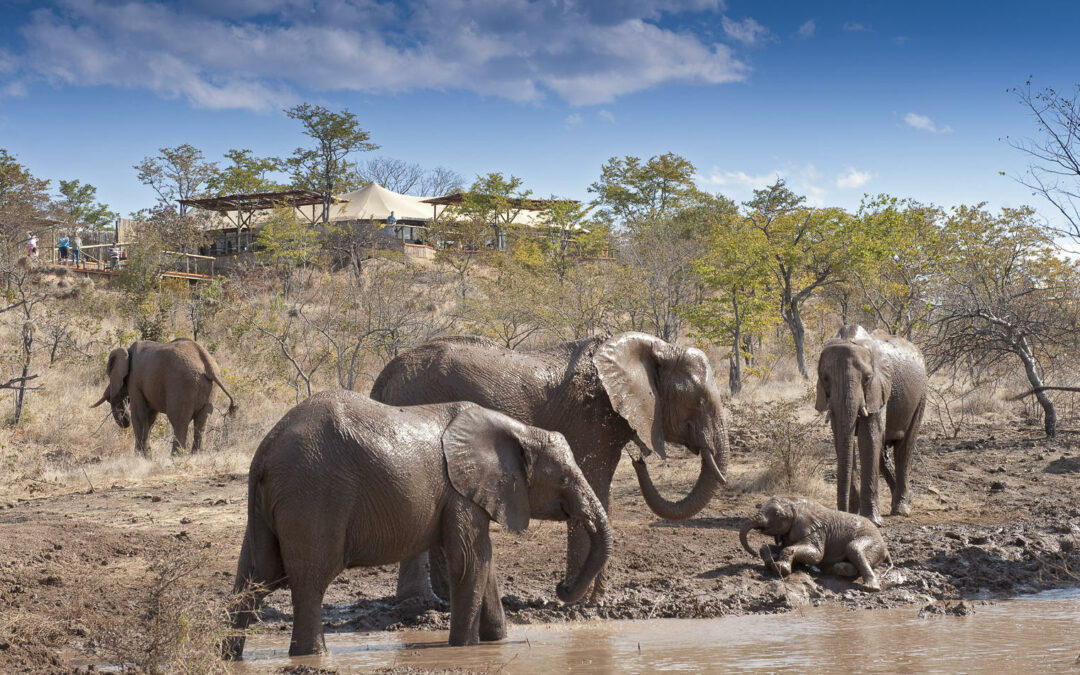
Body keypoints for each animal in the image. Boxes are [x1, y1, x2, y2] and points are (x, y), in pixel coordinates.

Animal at [92, 339, 237, 455]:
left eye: (109, 373)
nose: (124, 420)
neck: (127, 351)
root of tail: (208, 365)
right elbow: (150, 418)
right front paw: (146, 457)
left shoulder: (134, 380)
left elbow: (139, 415)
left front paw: (140, 457)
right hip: (209, 389)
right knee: (202, 421)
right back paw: (196, 456)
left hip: (182, 385)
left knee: (178, 421)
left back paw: (176, 457)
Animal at [222, 390, 611, 657]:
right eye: (563, 478)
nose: (561, 588)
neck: (518, 431)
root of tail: (264, 452)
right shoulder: (460, 492)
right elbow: (470, 560)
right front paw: (464, 649)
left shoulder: (463, 494)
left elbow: (484, 562)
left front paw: (495, 643)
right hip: (312, 494)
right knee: (310, 580)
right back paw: (312, 656)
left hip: (271, 504)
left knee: (255, 577)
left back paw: (227, 655)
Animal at [370, 332, 730, 609]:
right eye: (699, 402)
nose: (638, 459)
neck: (654, 346)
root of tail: (383, 377)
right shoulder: (590, 419)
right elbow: (593, 487)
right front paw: (582, 603)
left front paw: (595, 601)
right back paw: (419, 606)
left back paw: (439, 602)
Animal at [739, 496, 891, 591]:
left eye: (778, 514)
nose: (752, 553)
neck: (796, 502)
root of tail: (886, 549)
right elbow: (773, 546)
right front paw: (770, 561)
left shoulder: (816, 532)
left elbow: (816, 555)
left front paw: (780, 569)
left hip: (872, 541)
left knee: (853, 548)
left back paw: (870, 587)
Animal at [815, 325, 927, 525]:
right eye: (825, 378)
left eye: (867, 378)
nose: (841, 513)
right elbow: (842, 437)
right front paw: (854, 514)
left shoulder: (879, 387)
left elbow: (869, 437)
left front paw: (872, 520)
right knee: (883, 455)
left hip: (921, 395)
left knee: (904, 448)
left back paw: (901, 510)